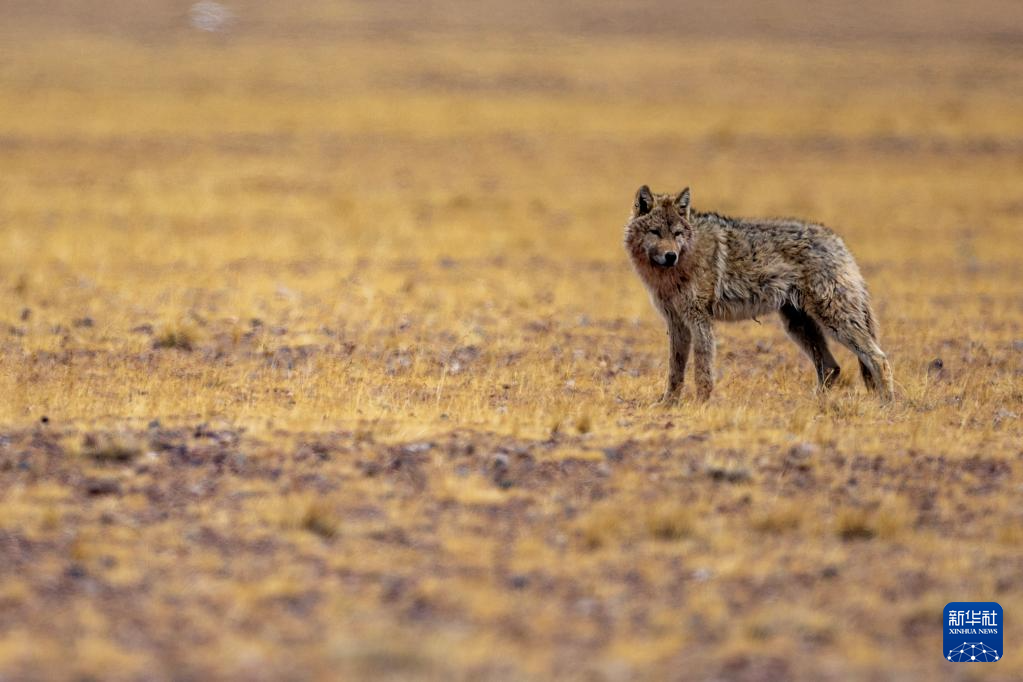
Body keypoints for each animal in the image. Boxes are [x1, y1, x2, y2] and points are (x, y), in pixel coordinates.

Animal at [617, 184, 892, 402]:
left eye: (677, 233)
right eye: (655, 232)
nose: (670, 256)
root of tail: (838, 241)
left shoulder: (699, 319)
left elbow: (702, 369)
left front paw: (700, 404)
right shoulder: (677, 323)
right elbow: (675, 371)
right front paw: (668, 404)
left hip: (833, 321)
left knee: (878, 358)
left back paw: (886, 405)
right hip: (798, 326)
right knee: (831, 367)